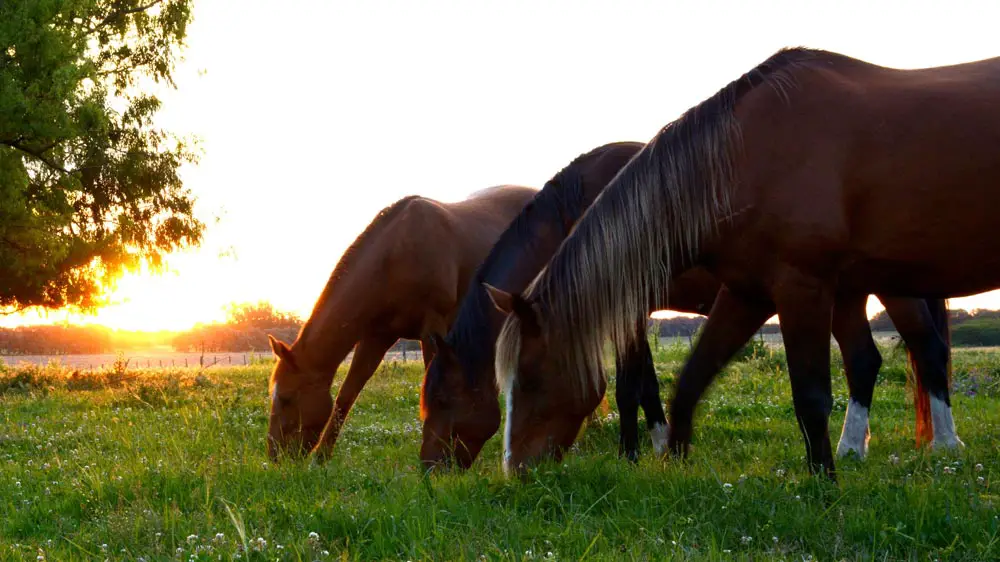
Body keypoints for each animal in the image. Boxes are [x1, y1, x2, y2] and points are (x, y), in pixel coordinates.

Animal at [262, 184, 536, 460]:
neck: (395, 257)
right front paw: (321, 459)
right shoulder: (376, 337)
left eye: (285, 398)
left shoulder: (433, 329)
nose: (276, 456)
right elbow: (346, 394)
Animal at [422, 140, 952, 468]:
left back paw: (946, 445)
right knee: (865, 359)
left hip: (888, 291)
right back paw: (851, 449)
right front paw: (659, 444)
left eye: (443, 400)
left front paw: (635, 454)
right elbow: (646, 385)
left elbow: (631, 387)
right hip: (845, 294)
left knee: (926, 350)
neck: (584, 208)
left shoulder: (627, 307)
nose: (429, 471)